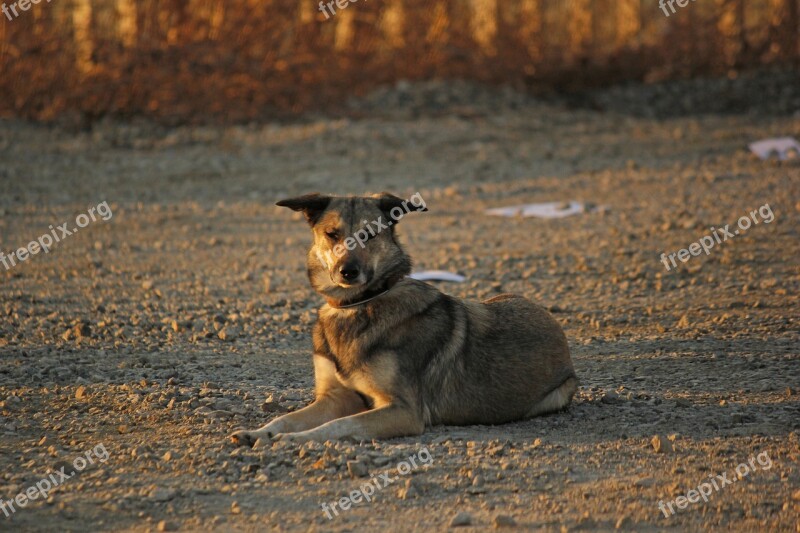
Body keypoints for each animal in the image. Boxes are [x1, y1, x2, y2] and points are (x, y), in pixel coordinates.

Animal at [230, 192, 576, 444]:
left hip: (558, 393)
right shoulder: (334, 397)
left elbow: (339, 426)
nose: (348, 272)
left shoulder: (403, 410)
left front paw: (294, 440)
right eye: (332, 234)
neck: (359, 304)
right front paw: (260, 432)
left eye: (369, 234)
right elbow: (286, 418)